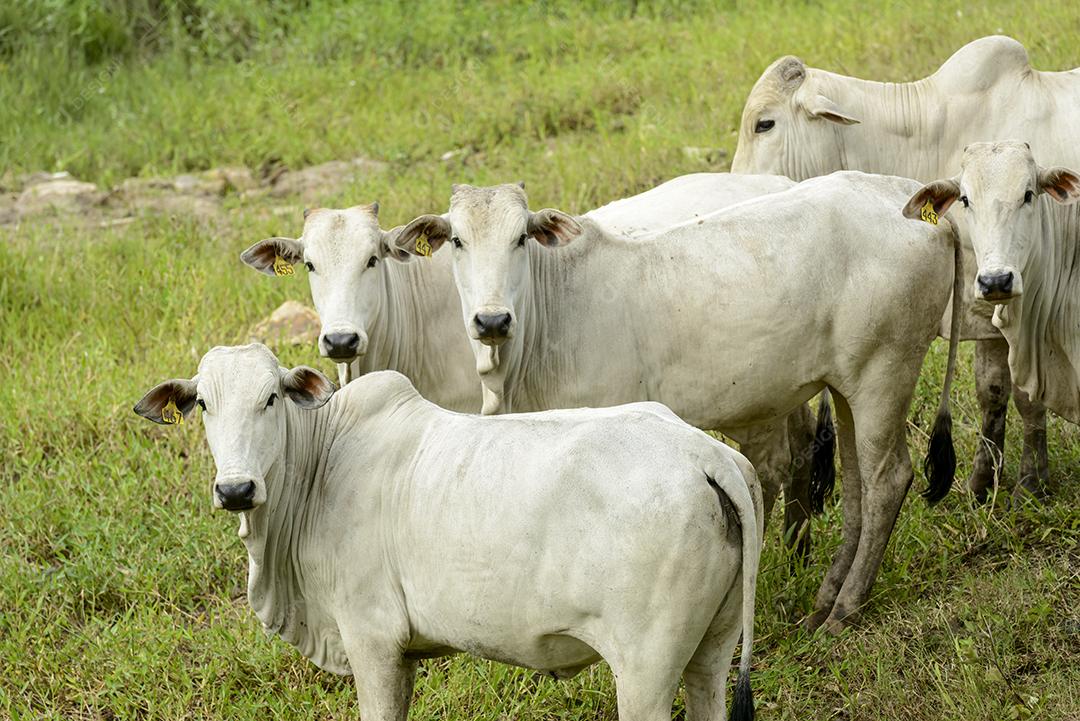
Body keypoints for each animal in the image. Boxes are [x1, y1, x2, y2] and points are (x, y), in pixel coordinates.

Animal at [132, 343, 760, 721]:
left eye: (270, 398)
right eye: (204, 404)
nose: (236, 489)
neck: (321, 460)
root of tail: (705, 455)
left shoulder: (372, 638)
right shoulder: (403, 654)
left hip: (646, 670)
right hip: (712, 651)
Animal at [395, 172, 963, 630]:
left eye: (520, 238)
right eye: (458, 241)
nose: (491, 320)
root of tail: (911, 197)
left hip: (885, 371)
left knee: (887, 480)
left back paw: (845, 608)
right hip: (848, 385)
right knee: (856, 484)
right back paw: (826, 599)